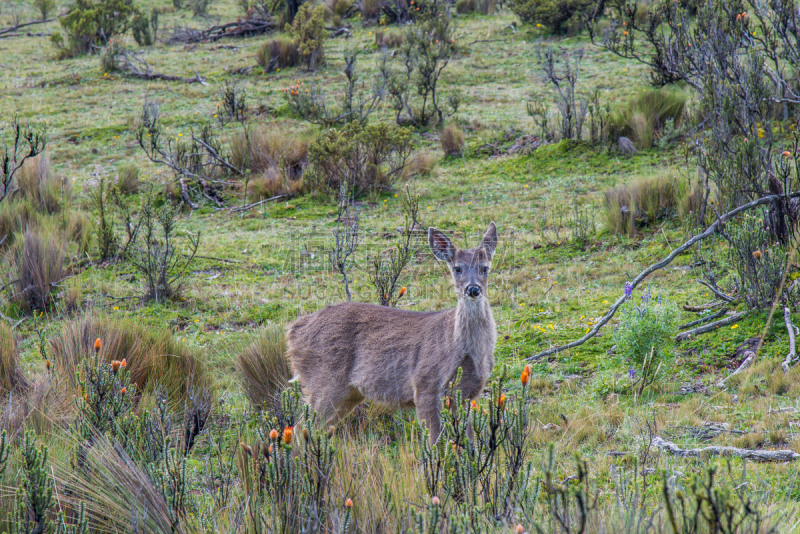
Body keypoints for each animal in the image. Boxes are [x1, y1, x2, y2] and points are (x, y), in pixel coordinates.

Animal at [288, 222, 496, 444]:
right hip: (324, 380)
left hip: (348, 393)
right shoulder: (425, 384)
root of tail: (294, 331)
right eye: (457, 268)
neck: (462, 348)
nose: (473, 289)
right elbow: (434, 442)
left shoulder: (468, 395)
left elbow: (471, 443)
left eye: (485, 268)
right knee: (300, 428)